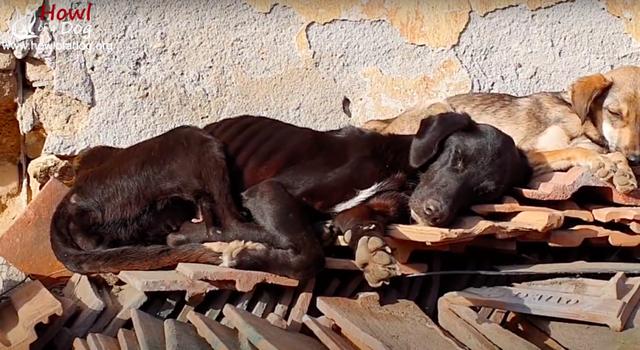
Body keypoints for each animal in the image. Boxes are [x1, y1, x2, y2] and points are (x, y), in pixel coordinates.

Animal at [51, 113, 528, 288]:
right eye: (457, 158)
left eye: (485, 193)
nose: (435, 215)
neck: (400, 170)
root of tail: (74, 198)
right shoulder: (268, 191)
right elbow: (308, 256)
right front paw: (254, 258)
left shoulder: (366, 205)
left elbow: (362, 219)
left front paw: (369, 244)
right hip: (197, 141)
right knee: (224, 224)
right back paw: (240, 248)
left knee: (199, 225)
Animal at [362, 65, 640, 194]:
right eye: (615, 113)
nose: (636, 158)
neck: (583, 124)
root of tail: (388, 122)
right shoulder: (529, 153)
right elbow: (576, 151)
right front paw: (600, 161)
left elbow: (613, 153)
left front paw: (623, 172)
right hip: (440, 104)